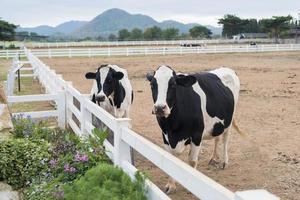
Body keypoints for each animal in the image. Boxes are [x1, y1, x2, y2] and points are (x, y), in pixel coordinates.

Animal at [146, 65, 240, 194]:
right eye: (152, 85)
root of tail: (227, 68)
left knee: (225, 140)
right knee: (217, 138)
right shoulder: (165, 135)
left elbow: (192, 161)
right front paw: (170, 185)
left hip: (228, 122)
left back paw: (224, 162)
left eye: (173, 85)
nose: (160, 108)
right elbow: (171, 159)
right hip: (217, 124)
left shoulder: (197, 135)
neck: (173, 127)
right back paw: (213, 158)